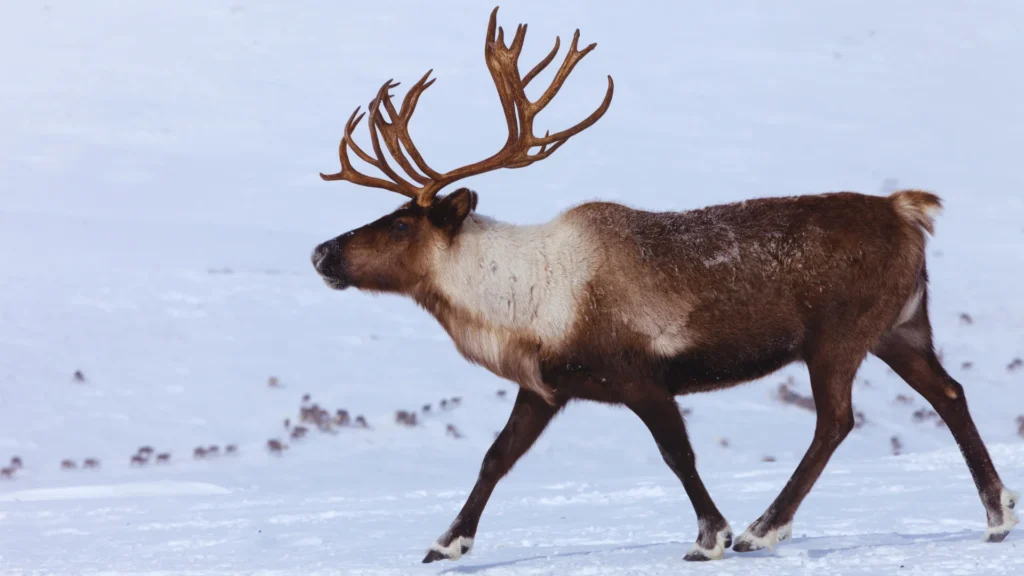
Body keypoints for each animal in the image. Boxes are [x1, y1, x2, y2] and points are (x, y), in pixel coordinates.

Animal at [310, 5, 1018, 563]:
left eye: (402, 222)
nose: (321, 251)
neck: (516, 299)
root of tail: (907, 210)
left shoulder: (641, 375)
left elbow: (679, 455)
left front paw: (711, 536)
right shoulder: (545, 387)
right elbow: (495, 457)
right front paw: (445, 543)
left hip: (838, 337)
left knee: (837, 421)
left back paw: (763, 528)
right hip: (903, 326)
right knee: (949, 393)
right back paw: (998, 513)